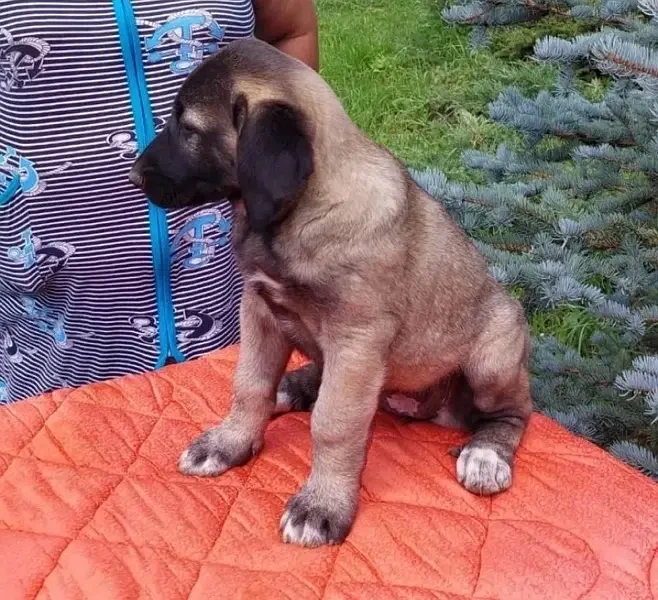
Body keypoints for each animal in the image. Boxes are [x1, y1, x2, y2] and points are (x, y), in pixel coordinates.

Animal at [129, 38, 532, 548]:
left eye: (188, 128)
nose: (135, 175)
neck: (304, 213)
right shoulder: (259, 310)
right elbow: (250, 385)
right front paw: (230, 442)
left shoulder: (356, 339)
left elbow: (334, 424)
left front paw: (321, 504)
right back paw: (296, 385)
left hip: (491, 359)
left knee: (513, 412)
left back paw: (485, 454)